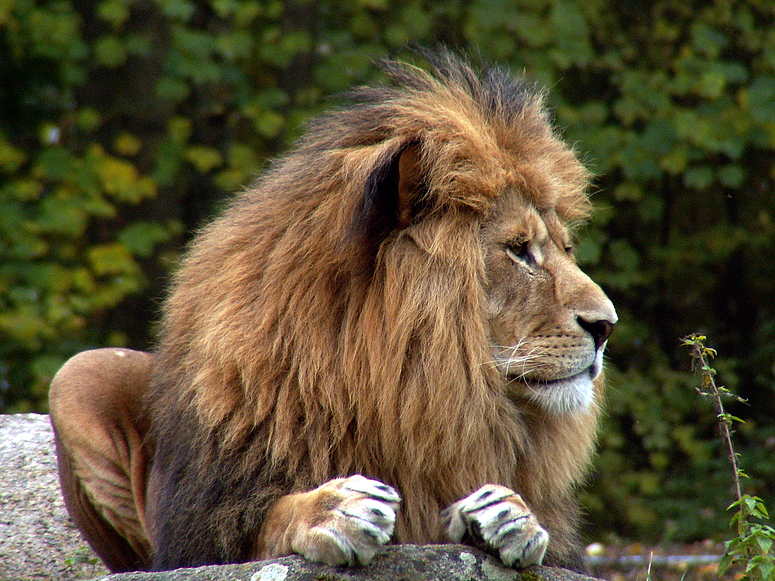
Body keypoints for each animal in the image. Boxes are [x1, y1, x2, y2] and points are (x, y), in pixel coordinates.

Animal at [50, 52, 620, 572]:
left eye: (565, 249)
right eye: (520, 250)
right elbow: (269, 520)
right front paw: (333, 510)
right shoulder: (195, 536)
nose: (606, 326)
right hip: (80, 374)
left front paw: (511, 515)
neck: (408, 389)